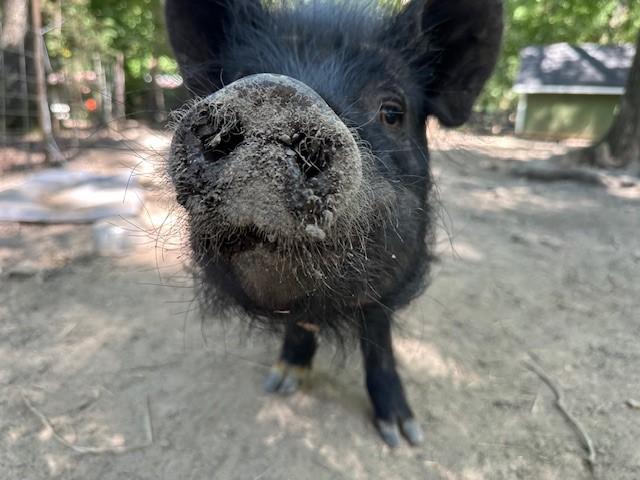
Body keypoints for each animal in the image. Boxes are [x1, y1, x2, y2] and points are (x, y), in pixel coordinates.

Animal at [165, 0, 502, 447]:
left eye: (392, 111)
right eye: (235, 77)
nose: (274, 90)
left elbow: (378, 334)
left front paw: (402, 434)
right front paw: (281, 384)